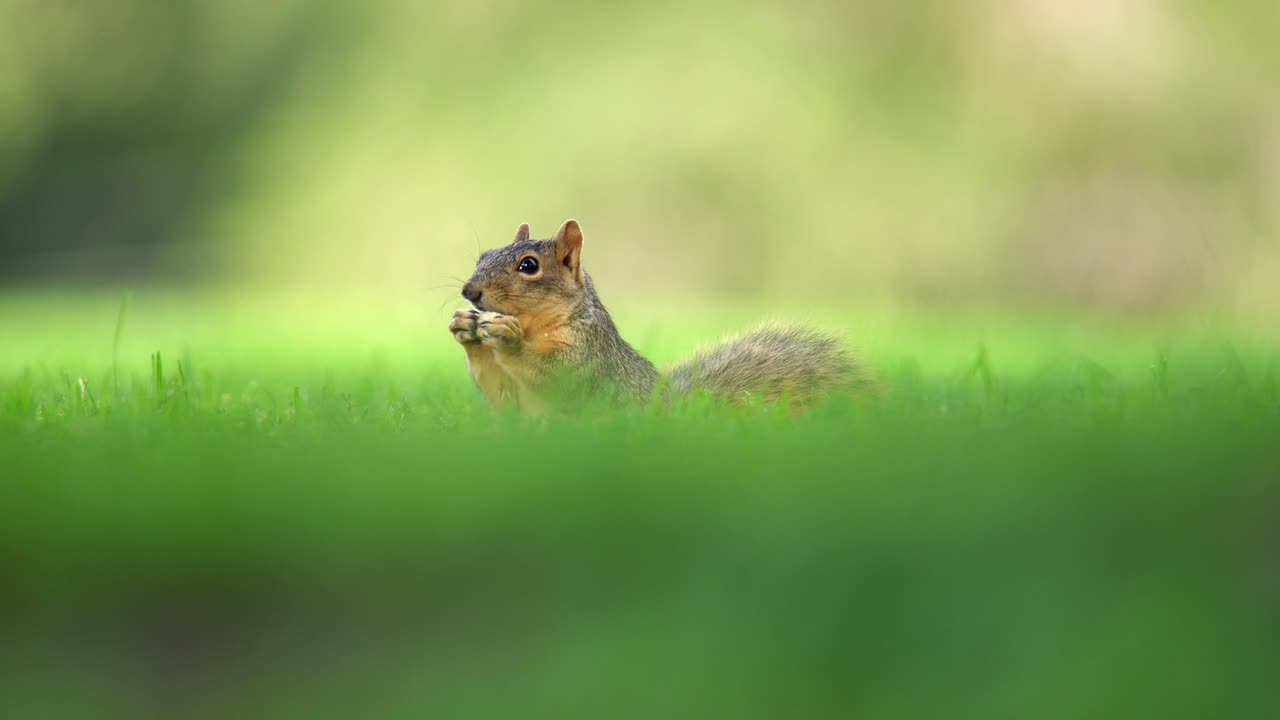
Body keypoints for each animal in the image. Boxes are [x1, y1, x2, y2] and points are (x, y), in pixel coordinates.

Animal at [448, 219, 866, 413]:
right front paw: (466, 328)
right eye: (483, 255)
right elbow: (504, 398)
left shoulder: (589, 352)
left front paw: (509, 341)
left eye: (529, 265)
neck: (536, 325)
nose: (470, 292)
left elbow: (558, 374)